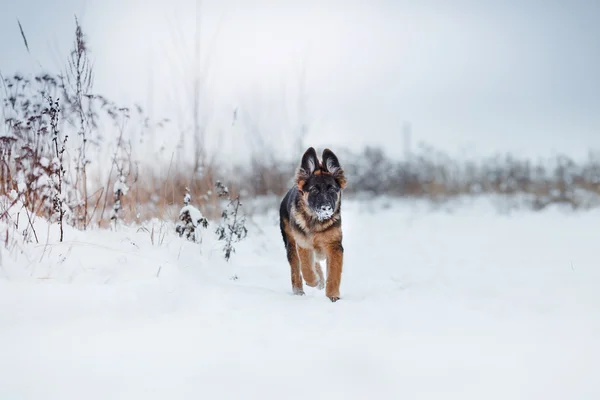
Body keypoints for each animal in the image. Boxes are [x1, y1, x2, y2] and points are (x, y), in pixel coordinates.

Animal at [278, 148, 344, 302]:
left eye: (332, 190)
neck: (317, 223)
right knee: (296, 269)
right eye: (314, 190)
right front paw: (313, 281)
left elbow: (334, 273)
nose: (326, 208)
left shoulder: (334, 247)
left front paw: (333, 295)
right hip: (291, 245)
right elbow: (306, 267)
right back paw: (300, 290)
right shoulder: (303, 244)